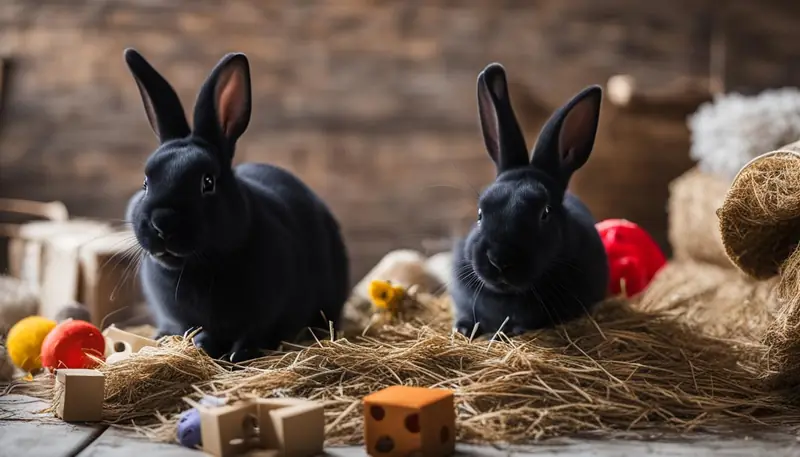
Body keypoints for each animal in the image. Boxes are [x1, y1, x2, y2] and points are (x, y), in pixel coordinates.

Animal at [122, 49, 350, 363]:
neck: (196, 267)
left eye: (207, 182)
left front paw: (237, 354)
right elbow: (189, 330)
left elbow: (254, 334)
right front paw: (195, 344)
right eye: (145, 182)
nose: (162, 222)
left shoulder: (268, 313)